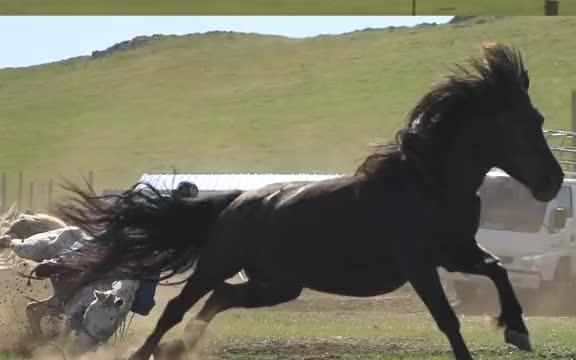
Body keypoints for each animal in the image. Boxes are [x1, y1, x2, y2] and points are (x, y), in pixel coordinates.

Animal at [46, 43, 564, 358]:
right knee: (180, 306)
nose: (553, 182)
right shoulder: (421, 265)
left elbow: (497, 269)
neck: (430, 185)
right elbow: (449, 320)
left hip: (280, 284)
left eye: (538, 118)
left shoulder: (455, 253)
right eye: (517, 123)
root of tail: (236, 201)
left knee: (222, 296)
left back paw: (179, 348)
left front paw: (517, 329)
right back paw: (147, 351)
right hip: (219, 262)